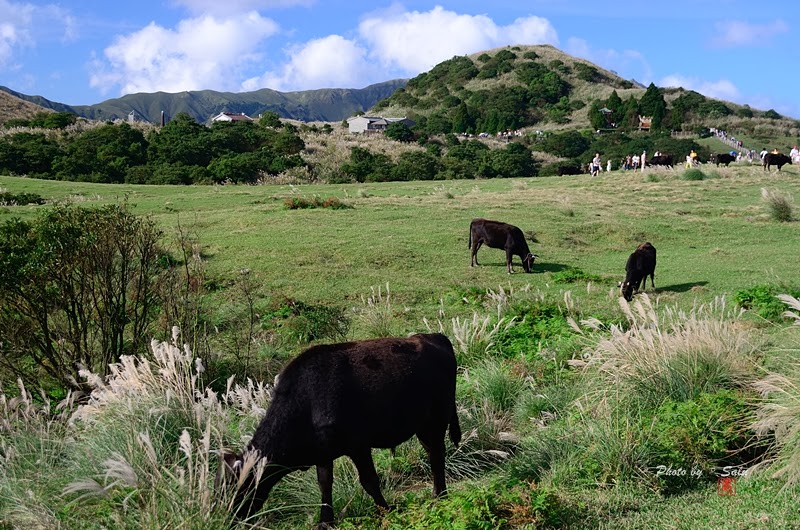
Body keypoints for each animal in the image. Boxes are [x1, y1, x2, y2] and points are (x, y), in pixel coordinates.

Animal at [217, 332, 462, 524]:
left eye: (233, 488)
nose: (224, 517)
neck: (304, 402)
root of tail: (432, 337)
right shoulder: (322, 452)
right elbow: (325, 484)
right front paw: (325, 521)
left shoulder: (358, 446)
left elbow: (369, 481)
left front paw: (386, 510)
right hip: (423, 426)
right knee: (432, 453)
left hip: (437, 421)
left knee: (437, 457)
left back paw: (440, 495)